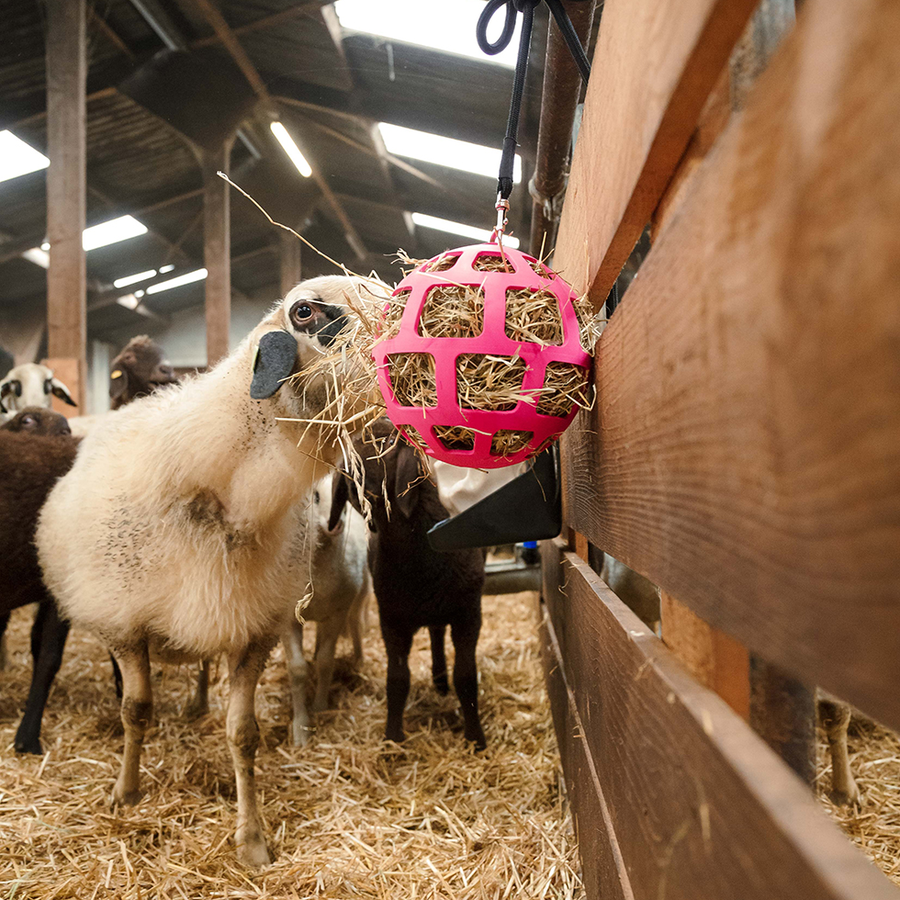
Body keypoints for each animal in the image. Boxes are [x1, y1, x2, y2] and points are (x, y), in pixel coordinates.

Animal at [37, 274, 374, 864]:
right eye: (305, 312)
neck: (230, 491)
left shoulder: (255, 630)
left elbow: (244, 733)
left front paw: (253, 839)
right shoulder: (124, 625)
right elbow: (136, 710)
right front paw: (126, 792)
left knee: (200, 661)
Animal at [330, 422, 488, 752]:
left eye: (388, 440)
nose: (346, 466)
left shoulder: (469, 613)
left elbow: (466, 677)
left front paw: (475, 739)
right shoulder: (391, 618)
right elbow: (397, 679)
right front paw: (392, 739)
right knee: (436, 632)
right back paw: (438, 678)